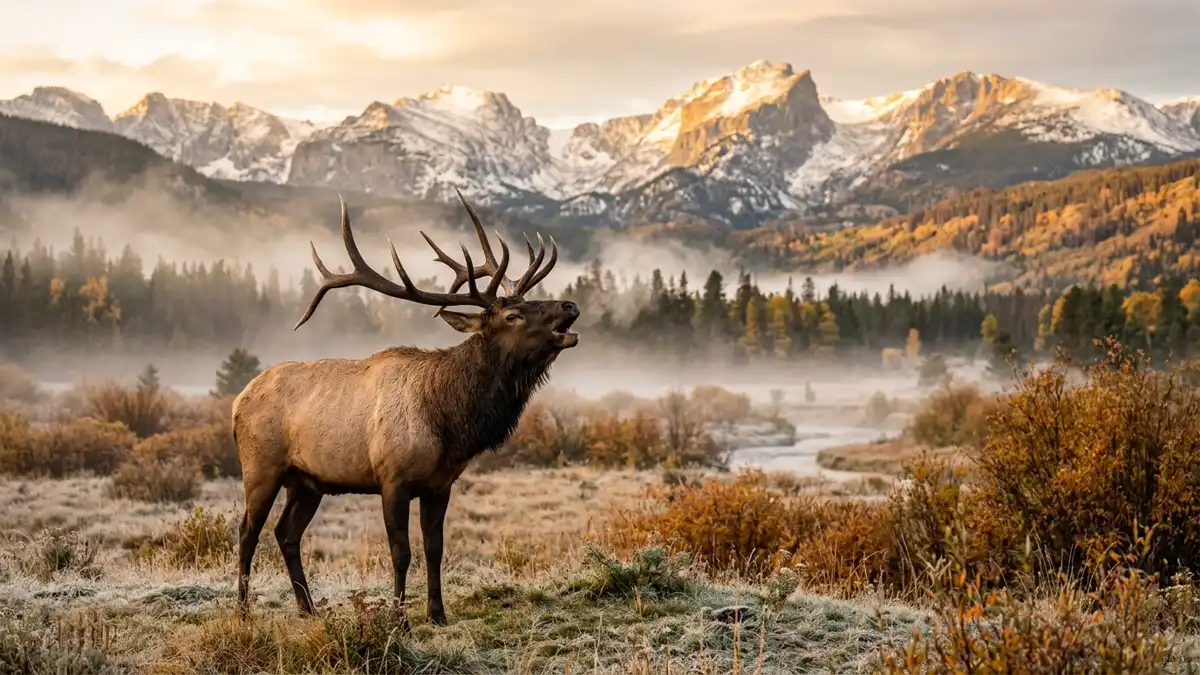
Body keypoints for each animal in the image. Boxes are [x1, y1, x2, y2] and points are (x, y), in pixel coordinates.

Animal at [231, 191, 579, 628]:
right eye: (512, 315)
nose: (570, 306)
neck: (449, 424)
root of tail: (237, 401)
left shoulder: (440, 484)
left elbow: (435, 550)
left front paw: (438, 614)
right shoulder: (391, 478)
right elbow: (401, 553)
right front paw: (400, 619)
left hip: (308, 481)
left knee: (286, 533)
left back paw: (308, 609)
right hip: (261, 467)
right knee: (247, 532)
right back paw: (243, 611)